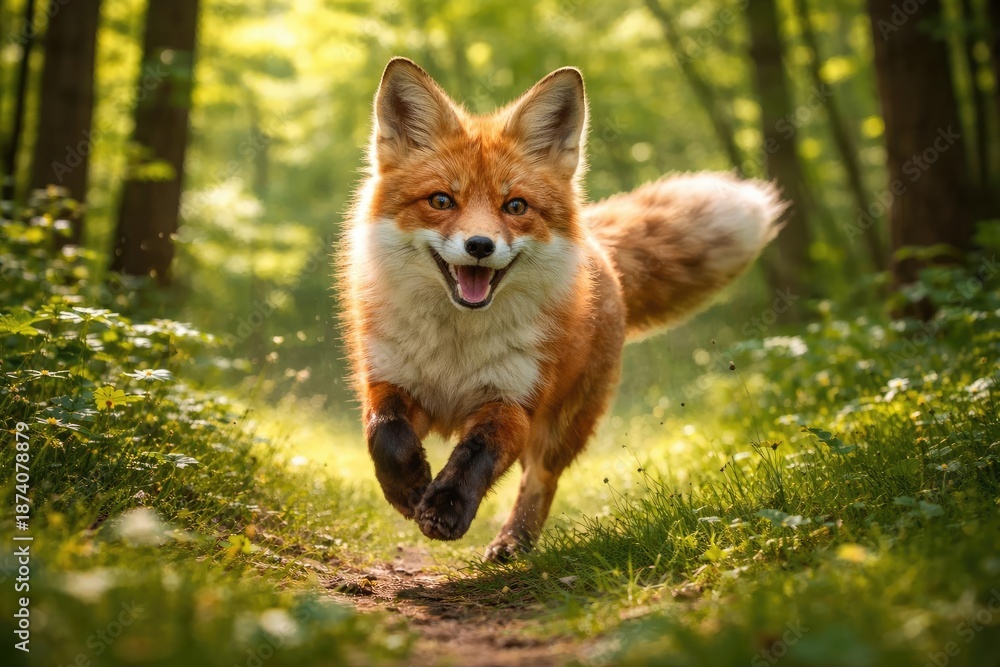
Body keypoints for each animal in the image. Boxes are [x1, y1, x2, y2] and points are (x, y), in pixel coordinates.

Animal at [340, 57, 784, 560]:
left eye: (515, 206)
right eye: (441, 200)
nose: (480, 245)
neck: (457, 348)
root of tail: (596, 241)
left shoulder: (514, 401)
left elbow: (476, 453)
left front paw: (447, 506)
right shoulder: (387, 380)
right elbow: (386, 434)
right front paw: (408, 486)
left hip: (563, 426)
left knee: (541, 480)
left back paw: (513, 542)